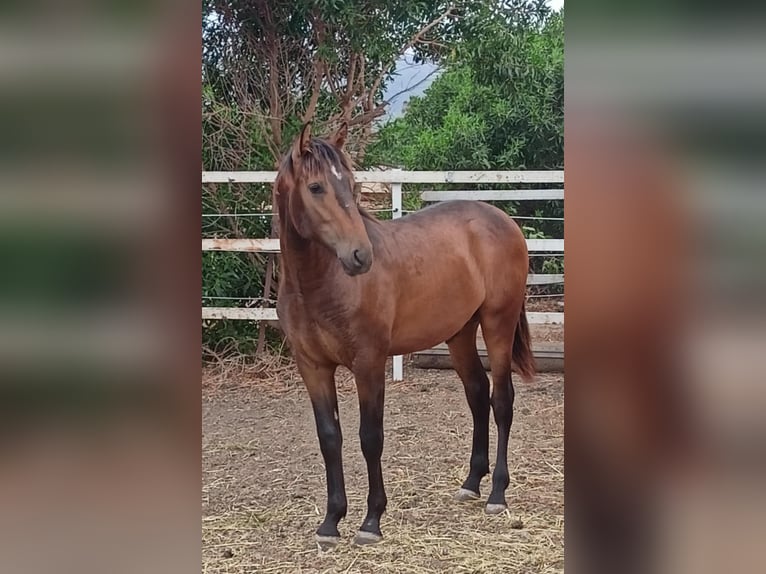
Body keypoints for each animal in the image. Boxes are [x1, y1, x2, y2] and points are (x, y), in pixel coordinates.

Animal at [274, 122, 536, 548]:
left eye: (350, 184)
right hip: (460, 333)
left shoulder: (368, 363)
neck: (318, 285)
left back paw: (497, 493)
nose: (360, 255)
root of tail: (502, 218)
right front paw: (331, 522)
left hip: (498, 323)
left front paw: (371, 521)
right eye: (315, 187)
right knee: (477, 395)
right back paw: (471, 483)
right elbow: (329, 438)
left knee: (501, 401)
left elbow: (370, 437)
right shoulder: (312, 367)